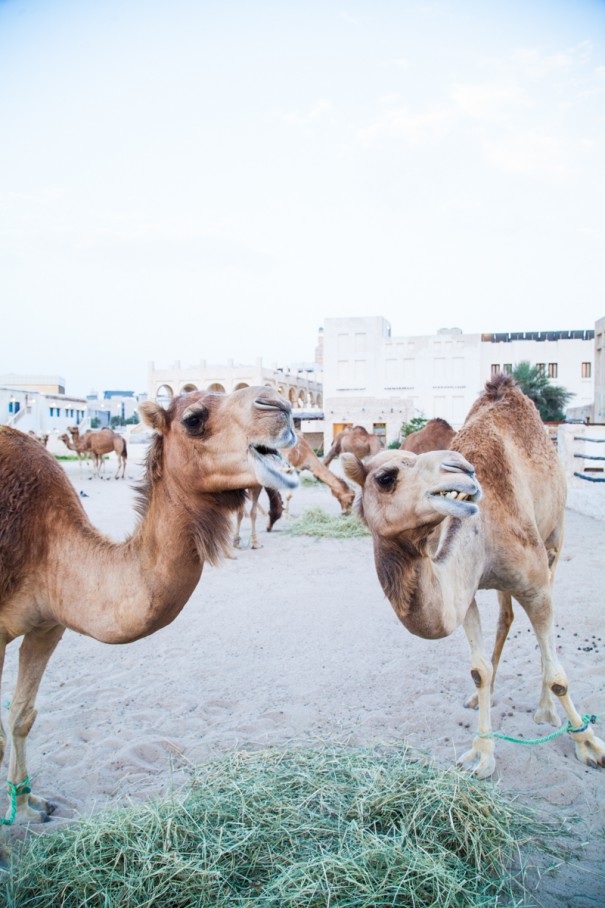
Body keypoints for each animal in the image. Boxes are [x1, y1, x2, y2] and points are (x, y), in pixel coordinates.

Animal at [0, 386, 298, 828]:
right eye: (193, 419)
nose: (279, 405)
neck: (43, 539)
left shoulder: (49, 623)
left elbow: (22, 715)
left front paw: (27, 805)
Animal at [344, 376, 604, 780]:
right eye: (386, 477)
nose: (462, 469)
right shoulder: (462, 590)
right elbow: (478, 670)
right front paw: (482, 752)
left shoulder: (536, 585)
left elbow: (558, 673)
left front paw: (587, 743)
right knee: (506, 617)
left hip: (554, 539)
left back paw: (545, 710)